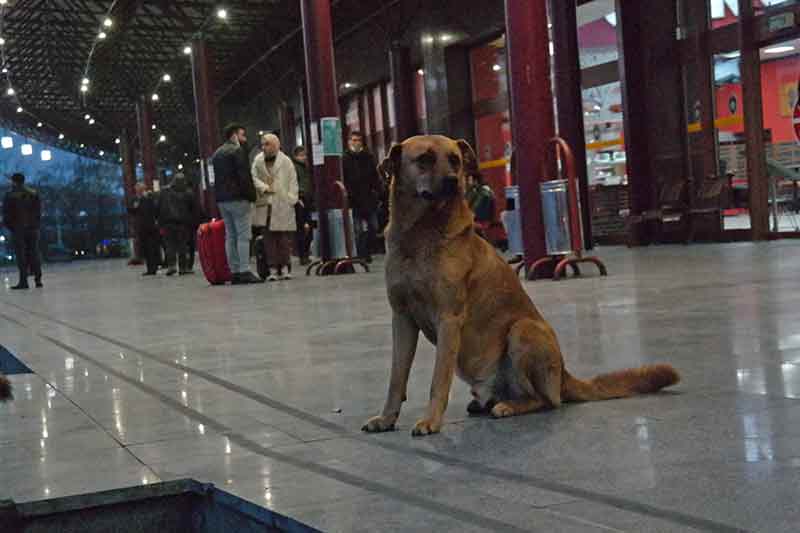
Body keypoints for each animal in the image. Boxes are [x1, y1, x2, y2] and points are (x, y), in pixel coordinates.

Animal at [364, 134, 680, 436]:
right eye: (425, 159)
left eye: (454, 160)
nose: (453, 181)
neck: (419, 236)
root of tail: (564, 375)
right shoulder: (402, 319)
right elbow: (396, 378)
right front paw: (387, 418)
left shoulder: (448, 320)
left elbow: (438, 380)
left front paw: (430, 421)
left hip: (523, 330)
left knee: (546, 400)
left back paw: (508, 406)